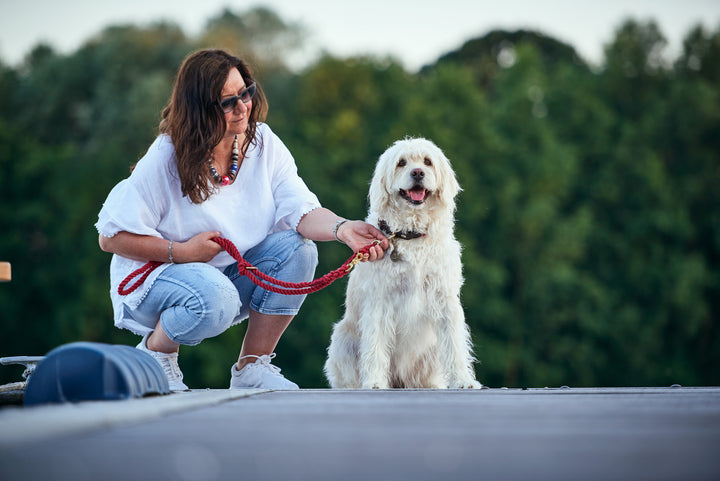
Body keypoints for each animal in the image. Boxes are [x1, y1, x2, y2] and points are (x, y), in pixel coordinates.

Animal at [326, 137, 484, 388]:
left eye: (427, 162)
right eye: (401, 163)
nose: (418, 172)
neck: (411, 234)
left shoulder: (444, 298)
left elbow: (455, 344)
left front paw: (462, 380)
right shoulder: (380, 300)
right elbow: (376, 345)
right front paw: (375, 382)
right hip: (342, 341)